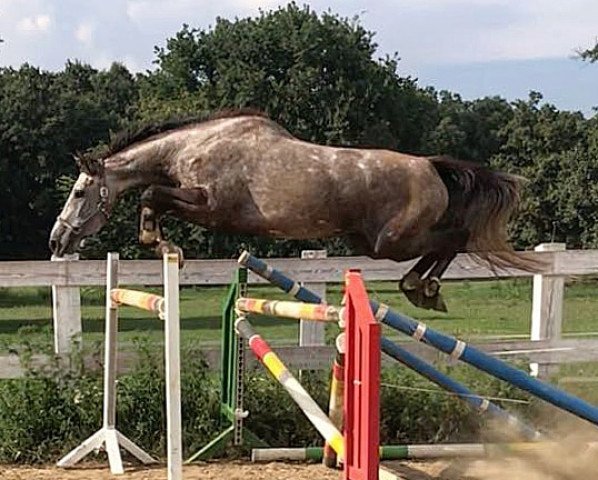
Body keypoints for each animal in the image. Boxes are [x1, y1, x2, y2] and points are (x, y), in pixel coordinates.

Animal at [49, 109, 540, 312]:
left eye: (79, 192)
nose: (57, 240)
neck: (194, 146)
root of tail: (430, 166)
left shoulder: (211, 205)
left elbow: (152, 194)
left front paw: (164, 246)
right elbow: (153, 196)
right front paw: (164, 246)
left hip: (392, 242)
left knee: (455, 238)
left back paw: (425, 289)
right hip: (373, 241)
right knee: (449, 241)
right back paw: (420, 289)